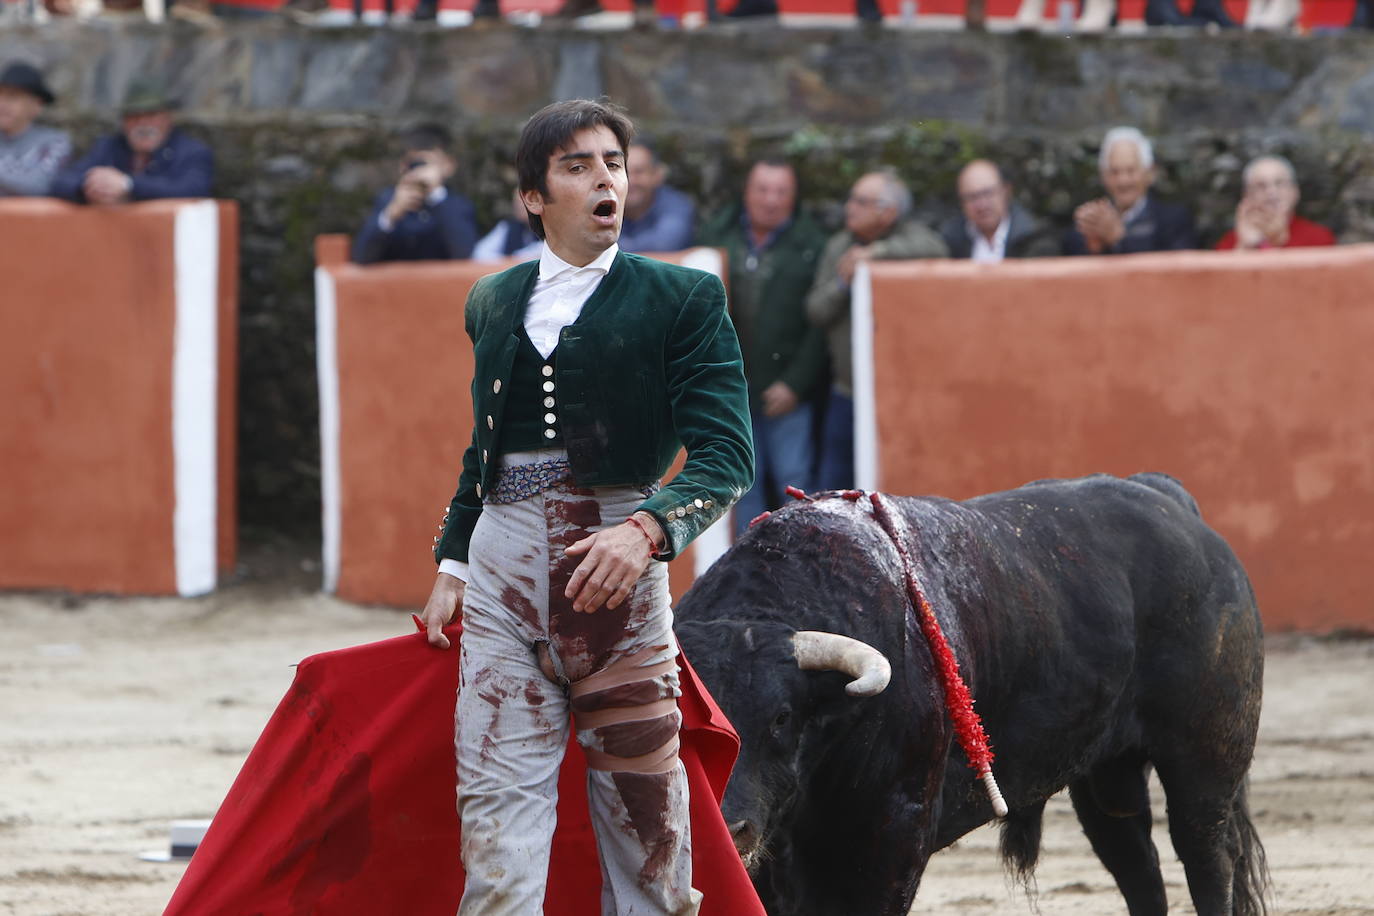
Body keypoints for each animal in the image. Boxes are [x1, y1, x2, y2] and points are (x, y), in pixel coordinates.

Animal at [676, 472, 1264, 916]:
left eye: (780, 717)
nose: (729, 826)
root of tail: (1167, 497)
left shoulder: (892, 834)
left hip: (1205, 756)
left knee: (1206, 854)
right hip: (1106, 772)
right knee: (1135, 861)